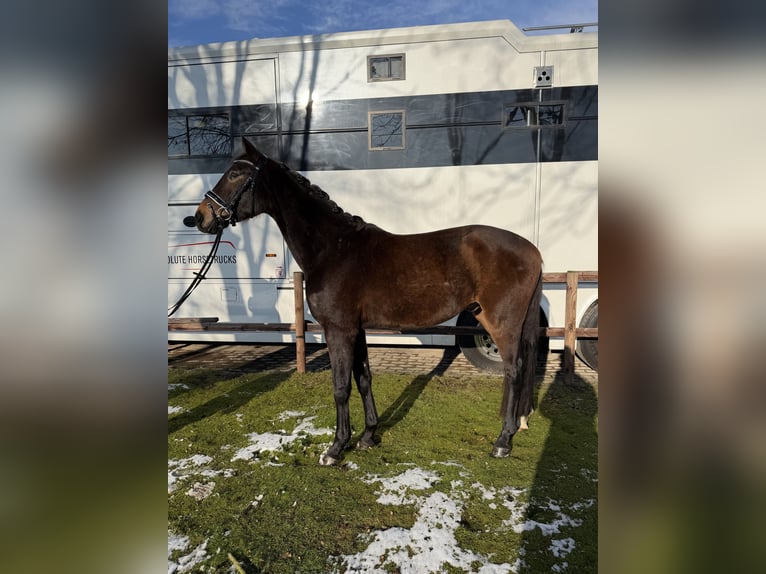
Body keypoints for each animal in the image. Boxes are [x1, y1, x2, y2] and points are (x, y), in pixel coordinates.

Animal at [190, 137, 543, 466]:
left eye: (236, 173)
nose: (200, 217)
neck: (333, 249)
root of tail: (531, 250)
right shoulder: (356, 330)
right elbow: (363, 379)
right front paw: (368, 436)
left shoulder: (338, 330)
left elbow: (340, 387)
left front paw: (335, 448)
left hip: (501, 325)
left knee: (514, 370)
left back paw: (503, 441)